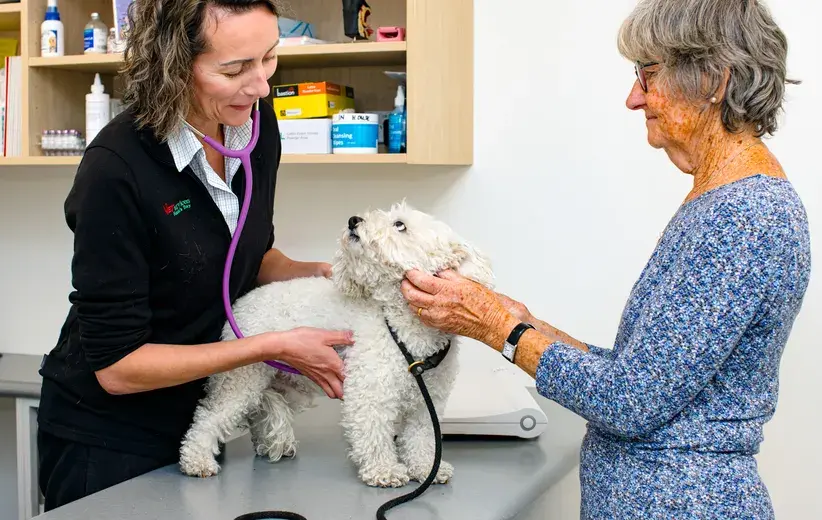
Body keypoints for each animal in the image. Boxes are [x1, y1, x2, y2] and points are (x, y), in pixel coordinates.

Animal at [179, 202, 496, 488]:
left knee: (260, 412)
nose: (354, 220)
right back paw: (196, 460)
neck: (404, 329)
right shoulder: (370, 393)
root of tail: (240, 303)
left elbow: (422, 439)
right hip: (242, 378)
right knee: (209, 417)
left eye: (400, 225)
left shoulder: (425, 403)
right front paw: (385, 471)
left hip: (287, 386)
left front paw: (427, 468)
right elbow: (374, 434)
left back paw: (268, 445)